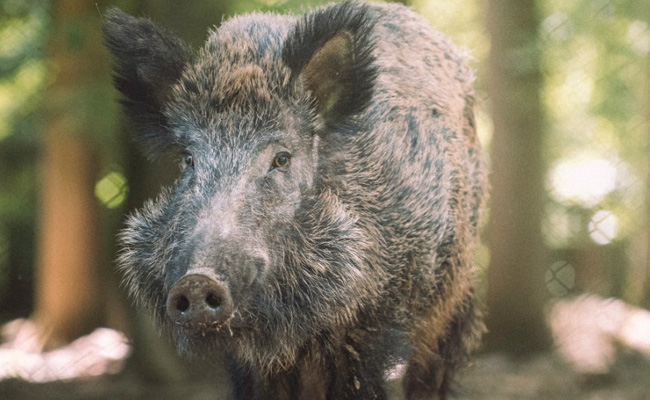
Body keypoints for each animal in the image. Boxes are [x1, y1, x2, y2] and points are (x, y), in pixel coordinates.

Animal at [103, 1, 487, 399]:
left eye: (282, 158)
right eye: (188, 159)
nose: (197, 281)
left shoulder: (374, 326)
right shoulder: (250, 362)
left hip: (452, 300)